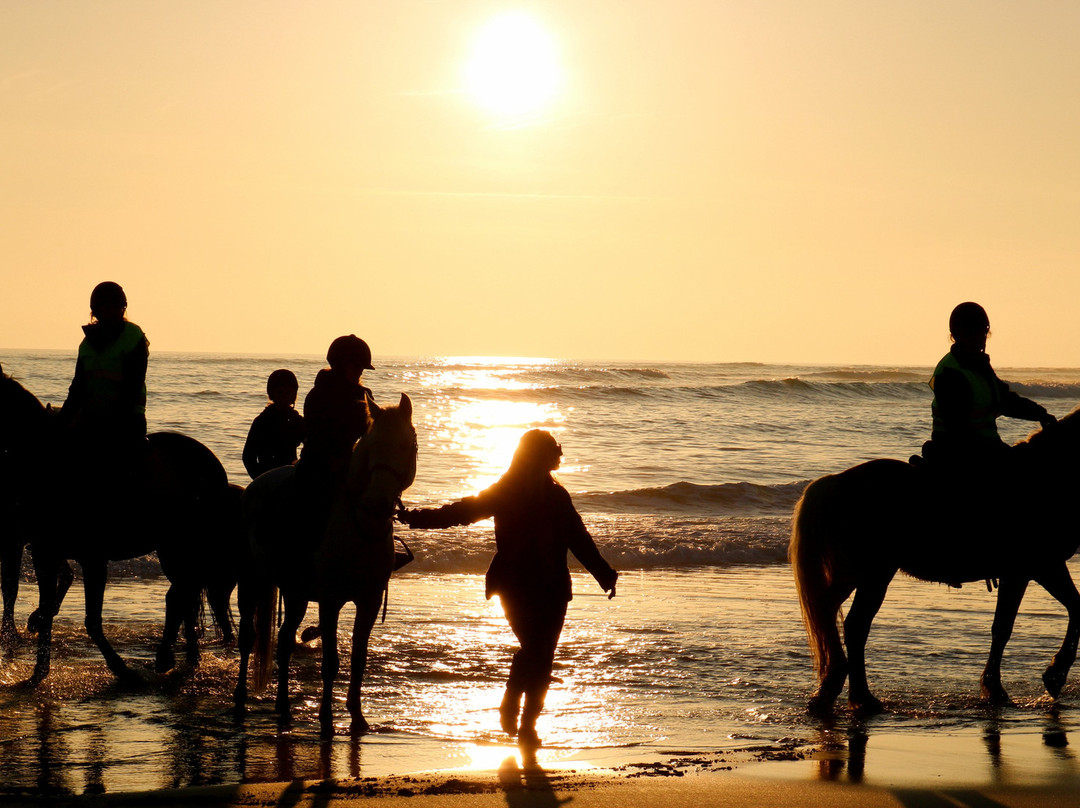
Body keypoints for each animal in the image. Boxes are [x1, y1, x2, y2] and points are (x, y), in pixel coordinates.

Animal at [0, 369, 240, 687]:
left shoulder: (92, 558)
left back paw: (169, 658)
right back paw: (187, 659)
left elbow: (90, 619)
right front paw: (38, 672)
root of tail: (213, 464)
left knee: (181, 595)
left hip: (185, 545)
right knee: (183, 597)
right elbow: (47, 605)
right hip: (171, 548)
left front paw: (121, 669)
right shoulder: (44, 554)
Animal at [234, 391, 414, 730]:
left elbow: (358, 658)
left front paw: (357, 716)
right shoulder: (331, 601)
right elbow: (331, 661)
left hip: (296, 594)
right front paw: (327, 720)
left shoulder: (369, 601)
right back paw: (240, 698)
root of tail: (256, 485)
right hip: (252, 581)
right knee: (248, 637)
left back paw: (284, 708)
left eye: (404, 445)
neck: (359, 525)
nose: (377, 502)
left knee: (284, 642)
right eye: (371, 445)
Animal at [786, 410, 1080, 712]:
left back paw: (833, 689)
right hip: (872, 573)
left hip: (858, 573)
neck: (1040, 475)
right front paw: (1049, 674)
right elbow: (1019, 624)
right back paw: (859, 696)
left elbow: (1047, 614)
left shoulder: (1036, 568)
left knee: (831, 612)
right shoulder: (1035, 567)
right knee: (853, 623)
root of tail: (836, 482)